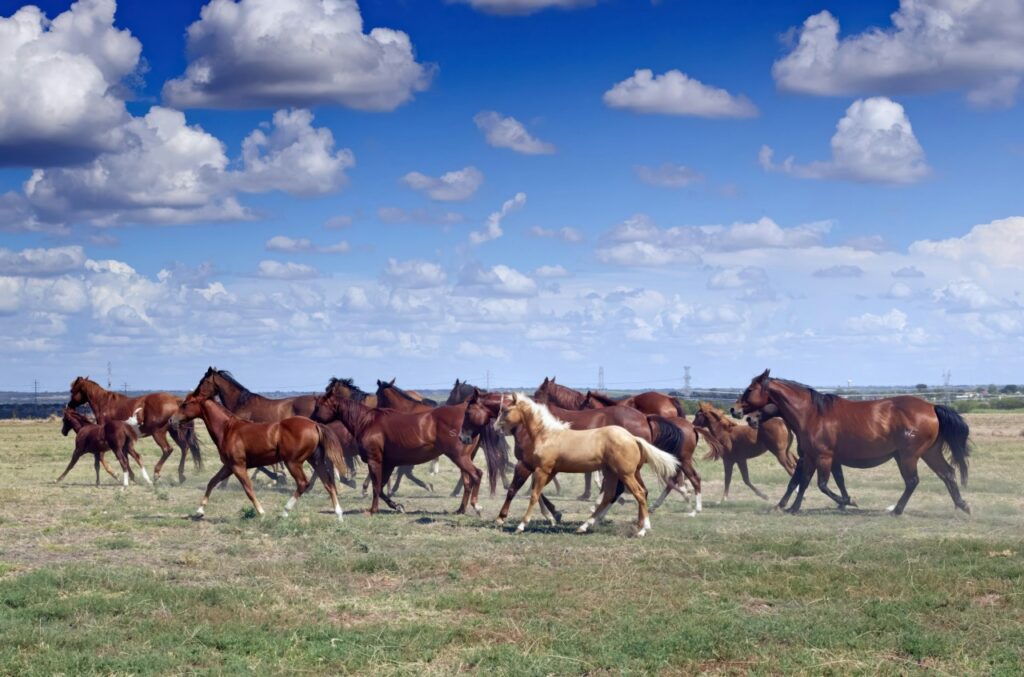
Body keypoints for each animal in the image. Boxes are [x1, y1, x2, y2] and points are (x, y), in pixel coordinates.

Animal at [67, 377, 202, 483]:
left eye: (72, 390)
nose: (69, 405)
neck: (105, 404)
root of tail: (175, 400)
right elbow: (126, 457)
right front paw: (131, 476)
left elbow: (106, 457)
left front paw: (117, 475)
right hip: (174, 431)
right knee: (185, 447)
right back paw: (181, 475)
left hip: (158, 433)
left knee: (167, 449)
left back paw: (156, 473)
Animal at [171, 392, 346, 520]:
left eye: (185, 404)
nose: (172, 420)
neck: (228, 429)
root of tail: (315, 424)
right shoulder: (229, 466)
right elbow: (212, 482)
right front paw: (199, 511)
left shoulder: (238, 466)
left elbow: (248, 489)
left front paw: (261, 512)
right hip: (315, 460)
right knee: (328, 483)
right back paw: (338, 514)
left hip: (293, 462)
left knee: (304, 483)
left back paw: (285, 511)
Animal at [312, 386, 484, 515]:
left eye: (318, 406)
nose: (310, 422)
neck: (367, 422)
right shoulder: (389, 463)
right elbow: (381, 488)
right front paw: (397, 506)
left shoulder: (375, 460)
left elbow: (376, 486)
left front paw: (373, 510)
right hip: (462, 458)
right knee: (467, 482)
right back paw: (460, 510)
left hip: (459, 457)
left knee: (477, 474)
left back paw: (476, 506)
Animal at [495, 394, 680, 537]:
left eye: (506, 411)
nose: (497, 428)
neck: (548, 435)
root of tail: (633, 438)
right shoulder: (548, 471)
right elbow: (538, 493)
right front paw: (552, 516)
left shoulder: (542, 469)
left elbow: (533, 494)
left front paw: (519, 525)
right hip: (612, 472)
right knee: (610, 495)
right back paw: (584, 526)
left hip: (626, 474)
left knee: (640, 493)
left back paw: (642, 530)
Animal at [732, 369, 971, 515]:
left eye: (750, 390)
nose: (736, 411)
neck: (813, 414)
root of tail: (932, 407)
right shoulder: (811, 457)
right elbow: (803, 482)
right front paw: (792, 508)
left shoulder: (824, 457)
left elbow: (821, 484)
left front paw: (847, 502)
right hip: (929, 453)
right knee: (947, 474)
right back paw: (963, 505)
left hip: (908, 456)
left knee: (912, 481)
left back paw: (896, 510)